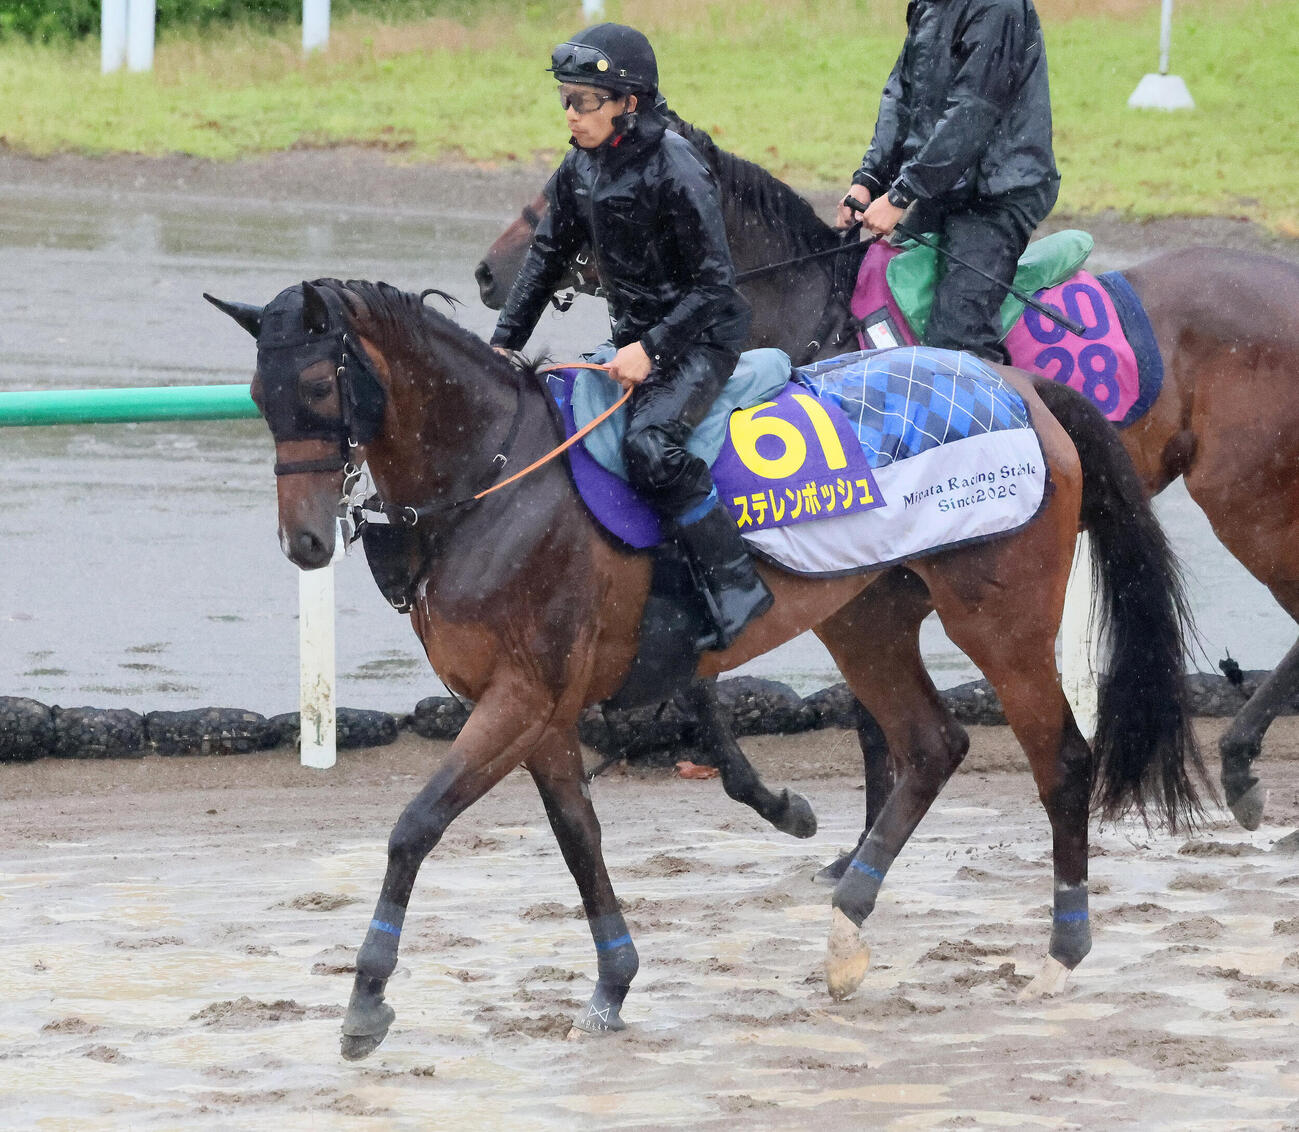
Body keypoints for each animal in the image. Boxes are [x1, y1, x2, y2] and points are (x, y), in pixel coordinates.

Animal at [206, 275, 1203, 1060]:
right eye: (258, 394)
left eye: (316, 383)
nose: (303, 542)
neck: (495, 479)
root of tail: (1019, 385)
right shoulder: (540, 708)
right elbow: (578, 838)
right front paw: (612, 983)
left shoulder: (521, 695)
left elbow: (414, 827)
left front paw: (366, 999)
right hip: (866, 617)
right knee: (929, 746)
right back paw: (845, 932)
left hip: (999, 618)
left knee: (1060, 759)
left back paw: (1060, 952)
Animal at [476, 109, 1299, 833]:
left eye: (563, 195)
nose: (488, 274)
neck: (807, 311)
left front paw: (819, 816)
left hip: (1247, 504)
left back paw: (1239, 765)